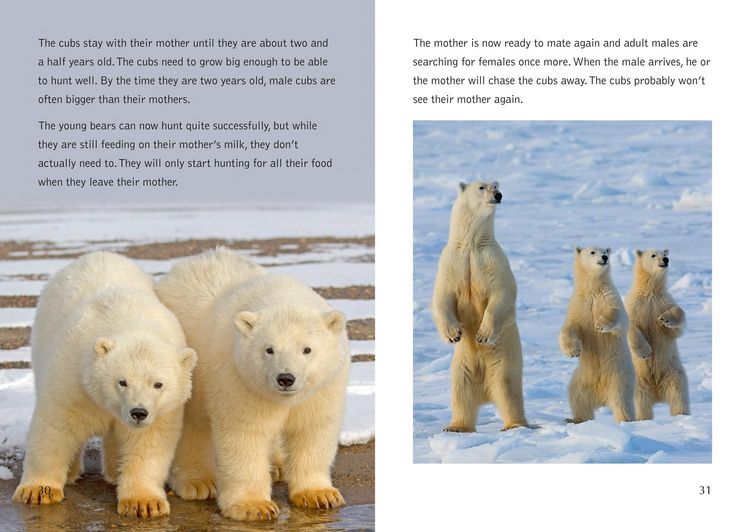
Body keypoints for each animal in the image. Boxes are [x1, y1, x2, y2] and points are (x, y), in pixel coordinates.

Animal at [12, 252, 197, 518]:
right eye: (122, 381)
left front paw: (144, 503)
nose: (138, 412)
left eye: (158, 384)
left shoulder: (162, 411)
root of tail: (95, 254)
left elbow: (149, 442)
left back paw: (113, 473)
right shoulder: (74, 380)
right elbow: (55, 427)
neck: (129, 319)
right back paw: (72, 473)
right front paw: (38, 491)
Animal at [155, 248, 350, 522]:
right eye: (269, 349)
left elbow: (313, 429)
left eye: (307, 349)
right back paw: (197, 482)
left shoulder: (323, 388)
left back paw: (277, 466)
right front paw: (254, 506)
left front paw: (320, 494)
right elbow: (245, 435)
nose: (285, 378)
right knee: (193, 424)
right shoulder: (239, 381)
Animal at [431, 180, 528, 432]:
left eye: (496, 185)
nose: (498, 195)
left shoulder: (492, 260)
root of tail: (485, 394)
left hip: (504, 359)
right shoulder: (452, 261)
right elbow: (442, 296)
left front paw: (482, 335)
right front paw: (453, 334)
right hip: (462, 364)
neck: (471, 244)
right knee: (461, 391)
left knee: (507, 388)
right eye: (482, 187)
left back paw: (514, 425)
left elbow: (501, 295)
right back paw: (456, 426)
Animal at [559, 246, 635, 423]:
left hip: (619, 377)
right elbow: (570, 327)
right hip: (582, 380)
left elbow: (620, 317)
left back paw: (624, 421)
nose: (605, 257)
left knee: (621, 401)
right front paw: (573, 351)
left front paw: (600, 324)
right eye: (593, 252)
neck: (593, 288)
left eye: (605, 251)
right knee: (577, 397)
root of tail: (602, 398)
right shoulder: (579, 305)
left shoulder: (609, 297)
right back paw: (574, 419)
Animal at [625, 249, 690, 419]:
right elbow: (629, 326)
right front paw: (645, 352)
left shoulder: (662, 302)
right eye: (653, 255)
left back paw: (681, 415)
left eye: (664, 253)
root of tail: (657, 393)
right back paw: (643, 419)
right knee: (641, 403)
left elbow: (677, 325)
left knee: (678, 396)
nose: (665, 260)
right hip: (639, 381)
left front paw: (665, 319)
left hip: (673, 373)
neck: (650, 291)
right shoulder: (635, 305)